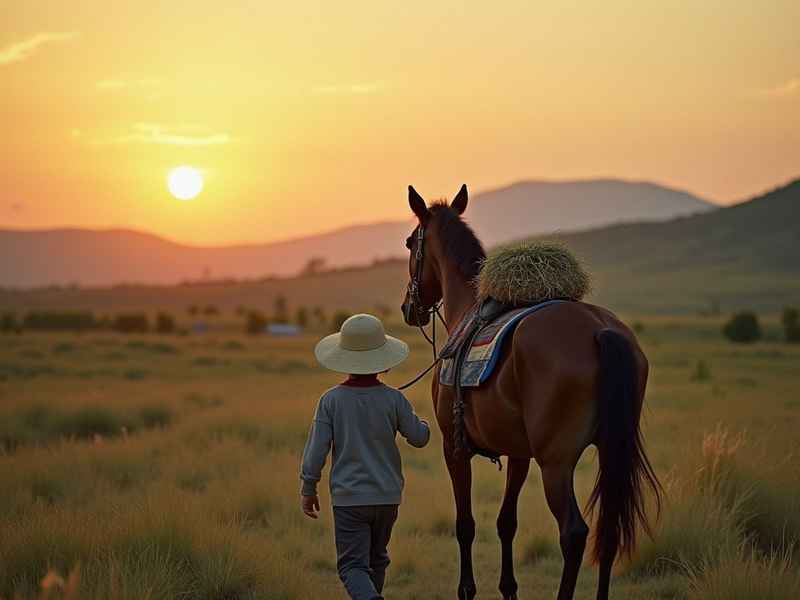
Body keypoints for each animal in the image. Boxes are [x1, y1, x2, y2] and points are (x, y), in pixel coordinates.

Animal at [400, 184, 661, 600]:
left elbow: (465, 524)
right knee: (609, 528)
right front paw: (508, 589)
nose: (409, 308)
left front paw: (467, 590)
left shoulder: (453, 447)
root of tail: (600, 328)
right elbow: (507, 522)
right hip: (611, 448)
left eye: (410, 243)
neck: (466, 310)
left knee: (574, 533)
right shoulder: (519, 452)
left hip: (556, 462)